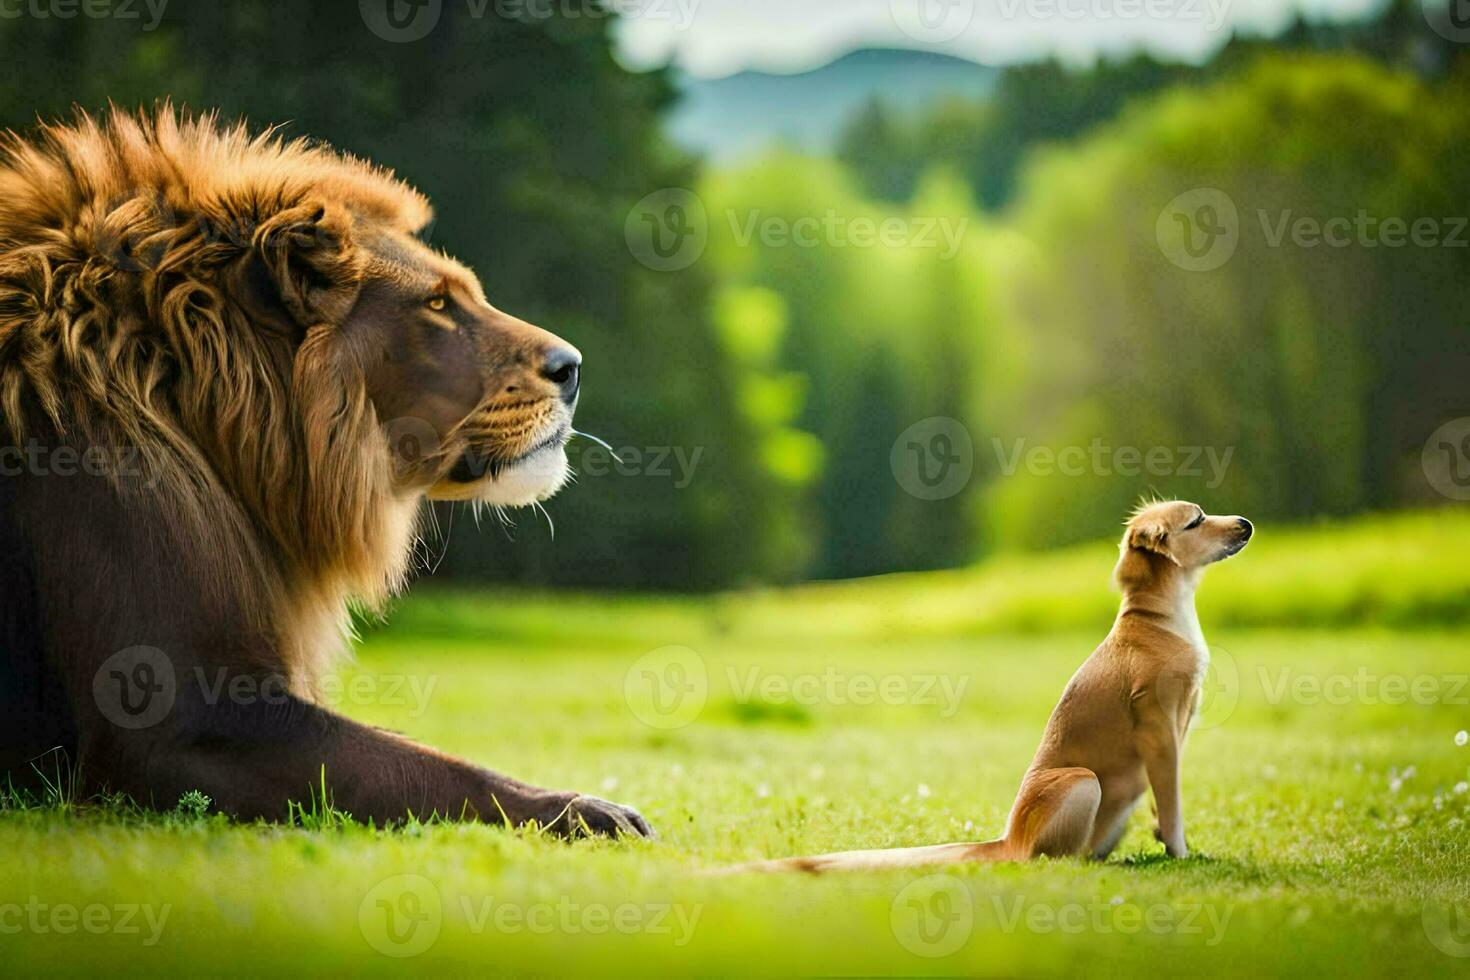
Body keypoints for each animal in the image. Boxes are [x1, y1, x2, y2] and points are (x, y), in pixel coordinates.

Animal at [729, 499, 1246, 875]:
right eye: (1196, 520)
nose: (1246, 523)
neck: (1158, 619)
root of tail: (1007, 841)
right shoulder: (1161, 732)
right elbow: (1173, 804)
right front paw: (1182, 854)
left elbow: (1166, 807)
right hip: (1083, 781)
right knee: (1057, 860)